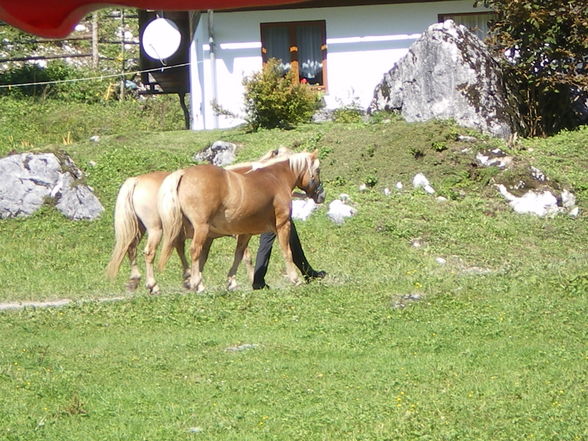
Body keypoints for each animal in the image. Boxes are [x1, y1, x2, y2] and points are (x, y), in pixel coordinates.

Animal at [105, 146, 292, 294]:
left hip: (140, 229)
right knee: (148, 252)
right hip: (155, 229)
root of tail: (136, 180)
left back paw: (137, 280)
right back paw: (154, 285)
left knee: (131, 248)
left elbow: (204, 256)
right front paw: (245, 281)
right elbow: (245, 256)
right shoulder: (237, 232)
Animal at [158, 151, 324, 292]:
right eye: (318, 170)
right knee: (194, 251)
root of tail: (184, 174)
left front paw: (233, 281)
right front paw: (295, 279)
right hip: (201, 229)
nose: (321, 195)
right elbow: (287, 251)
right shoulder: (283, 224)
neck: (275, 178)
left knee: (181, 249)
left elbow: (239, 256)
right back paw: (195, 283)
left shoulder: (245, 233)